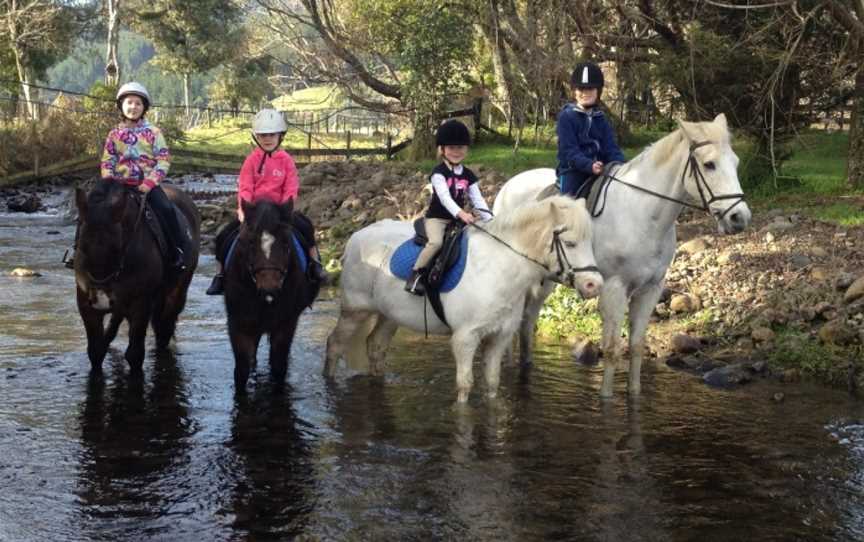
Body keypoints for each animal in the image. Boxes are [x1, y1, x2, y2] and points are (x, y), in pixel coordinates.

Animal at [74, 183, 201, 374]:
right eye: (82, 245)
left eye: (117, 247)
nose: (100, 300)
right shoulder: (86, 305)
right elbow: (95, 352)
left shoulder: (140, 304)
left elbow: (134, 355)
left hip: (176, 293)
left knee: (164, 331)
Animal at [216, 199, 320, 386]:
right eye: (250, 242)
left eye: (286, 242)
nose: (269, 288)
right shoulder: (239, 324)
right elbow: (241, 370)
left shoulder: (285, 324)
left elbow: (278, 367)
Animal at [324, 196, 600, 404]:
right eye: (570, 243)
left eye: (590, 241)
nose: (594, 285)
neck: (498, 268)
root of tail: (355, 237)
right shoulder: (466, 338)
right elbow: (465, 386)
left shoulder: (499, 337)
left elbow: (492, 384)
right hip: (354, 311)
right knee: (335, 344)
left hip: (388, 315)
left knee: (375, 346)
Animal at [496, 113, 752, 400]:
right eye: (709, 164)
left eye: (735, 163)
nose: (739, 218)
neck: (643, 214)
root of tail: (508, 186)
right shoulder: (614, 289)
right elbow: (611, 350)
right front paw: (606, 397)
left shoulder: (650, 290)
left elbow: (637, 347)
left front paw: (634, 394)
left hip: (545, 282)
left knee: (527, 322)